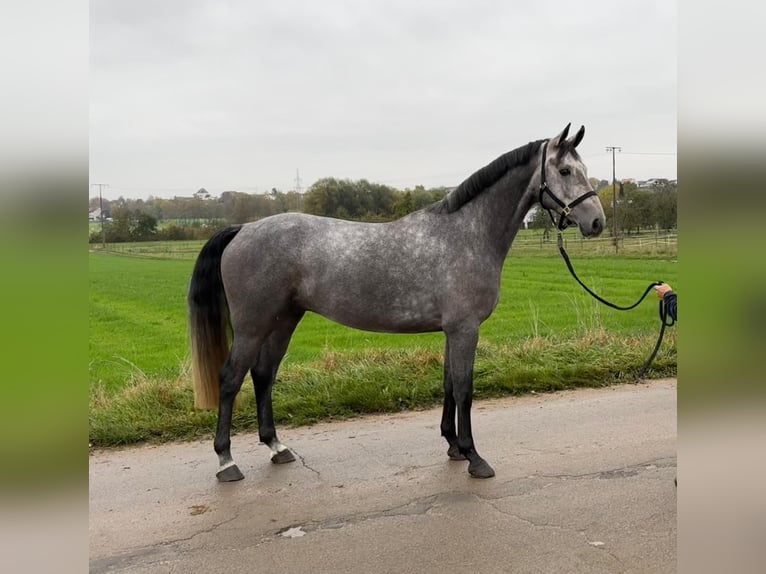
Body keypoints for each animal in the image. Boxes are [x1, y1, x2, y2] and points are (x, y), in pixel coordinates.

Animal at [188, 124, 608, 484]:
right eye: (566, 170)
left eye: (584, 169)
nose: (597, 222)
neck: (466, 233)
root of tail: (243, 229)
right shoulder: (465, 329)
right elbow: (465, 389)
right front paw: (474, 457)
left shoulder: (452, 330)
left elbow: (448, 385)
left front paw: (453, 446)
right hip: (252, 325)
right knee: (231, 379)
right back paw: (227, 461)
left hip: (284, 320)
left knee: (263, 375)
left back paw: (277, 447)